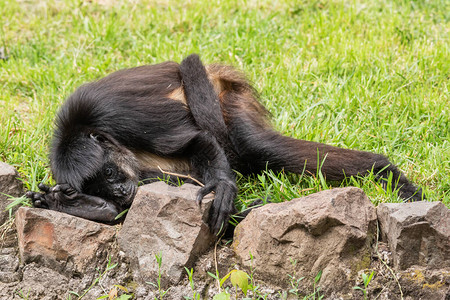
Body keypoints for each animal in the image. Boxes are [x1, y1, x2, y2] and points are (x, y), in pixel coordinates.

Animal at [26, 54, 424, 233]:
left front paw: (222, 187)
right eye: (98, 185)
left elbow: (199, 141)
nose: (119, 191)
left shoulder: (115, 112)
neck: (82, 125)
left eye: (108, 174)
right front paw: (73, 204)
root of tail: (219, 72)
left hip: (223, 98)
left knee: (255, 149)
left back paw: (384, 171)